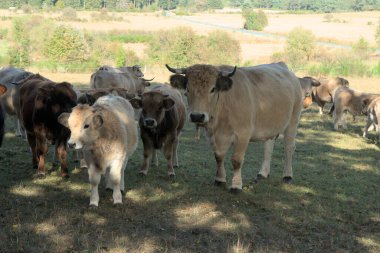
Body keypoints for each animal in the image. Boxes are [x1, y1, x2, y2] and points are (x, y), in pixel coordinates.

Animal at [166, 61, 302, 192]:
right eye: (188, 89)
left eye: (213, 89)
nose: (197, 116)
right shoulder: (212, 135)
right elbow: (218, 157)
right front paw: (220, 179)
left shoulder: (243, 134)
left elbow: (236, 160)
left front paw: (236, 186)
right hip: (271, 125)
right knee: (268, 146)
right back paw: (263, 173)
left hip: (293, 120)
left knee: (289, 147)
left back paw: (287, 176)